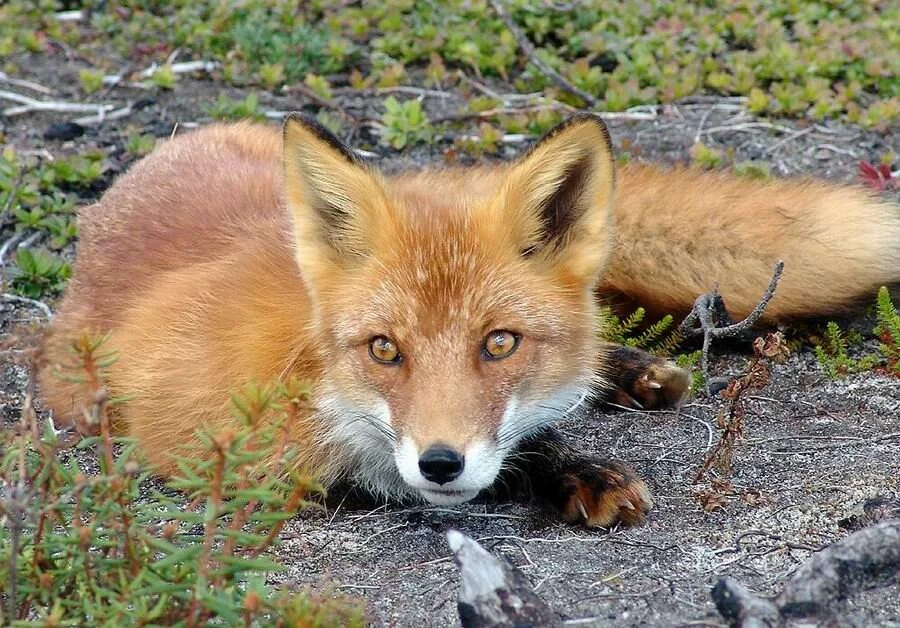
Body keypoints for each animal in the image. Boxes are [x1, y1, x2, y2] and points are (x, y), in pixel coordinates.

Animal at [38, 111, 900, 524]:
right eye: (384, 350)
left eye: (500, 343)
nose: (441, 462)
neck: (317, 381)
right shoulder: (204, 449)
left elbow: (528, 437)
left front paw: (573, 464)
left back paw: (628, 371)